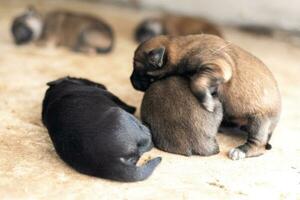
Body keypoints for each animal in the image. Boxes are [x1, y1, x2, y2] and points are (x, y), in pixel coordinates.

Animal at [131, 34, 282, 159]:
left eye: (139, 71)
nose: (131, 80)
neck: (182, 46)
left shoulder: (217, 65)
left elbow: (197, 82)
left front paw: (207, 101)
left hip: (260, 120)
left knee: (258, 143)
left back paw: (241, 151)